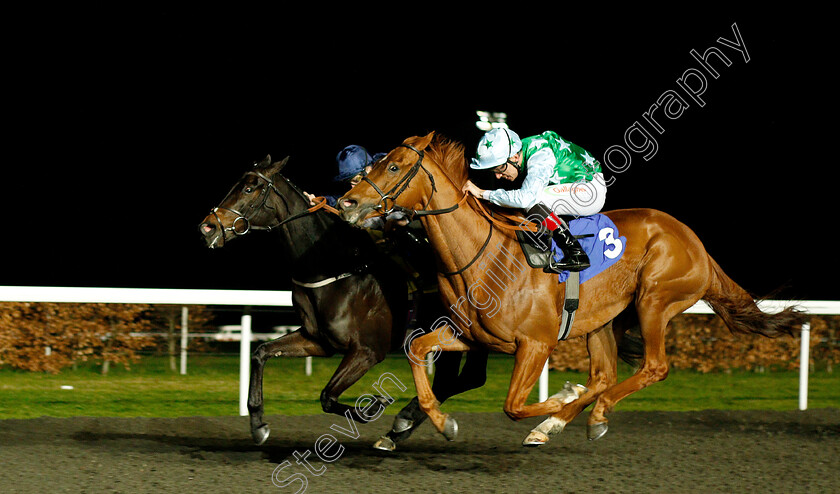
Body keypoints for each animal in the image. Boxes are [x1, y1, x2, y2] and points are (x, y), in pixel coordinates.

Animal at [199, 154, 488, 448]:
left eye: (249, 188)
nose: (207, 227)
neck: (334, 267)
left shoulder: (368, 351)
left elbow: (327, 396)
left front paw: (375, 405)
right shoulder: (319, 341)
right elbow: (261, 352)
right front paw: (257, 423)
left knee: (462, 378)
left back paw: (405, 423)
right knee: (457, 379)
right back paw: (400, 429)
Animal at [336, 133, 808, 446]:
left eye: (394, 167)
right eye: (371, 167)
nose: (347, 203)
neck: (482, 257)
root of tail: (697, 245)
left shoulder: (536, 344)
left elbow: (513, 405)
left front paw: (562, 397)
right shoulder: (471, 335)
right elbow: (416, 349)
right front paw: (437, 422)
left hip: (655, 300)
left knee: (653, 367)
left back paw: (585, 414)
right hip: (604, 319)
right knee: (604, 375)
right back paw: (564, 420)